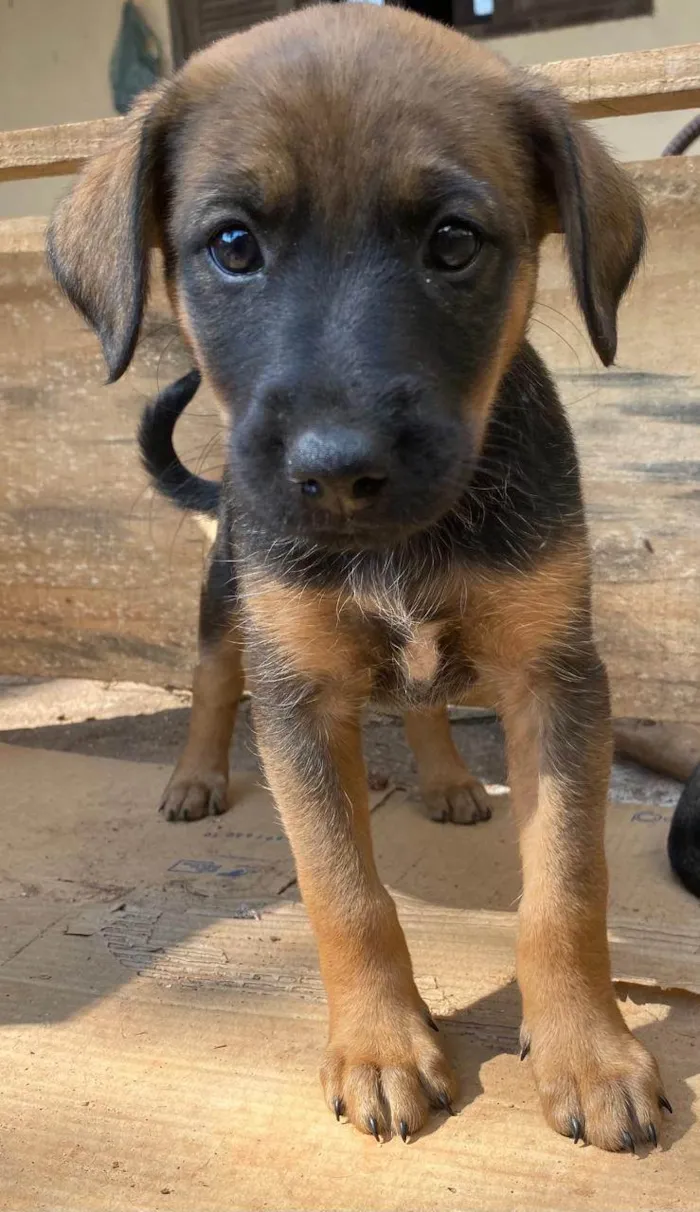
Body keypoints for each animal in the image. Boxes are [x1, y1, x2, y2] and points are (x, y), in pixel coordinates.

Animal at [46, 4, 668, 1148]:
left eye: (453, 242)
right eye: (233, 246)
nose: (337, 470)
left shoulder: (556, 678)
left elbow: (567, 884)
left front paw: (588, 1052)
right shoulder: (298, 692)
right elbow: (345, 893)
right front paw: (381, 1045)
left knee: (422, 701)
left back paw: (449, 778)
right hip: (227, 605)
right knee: (211, 684)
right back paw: (196, 776)